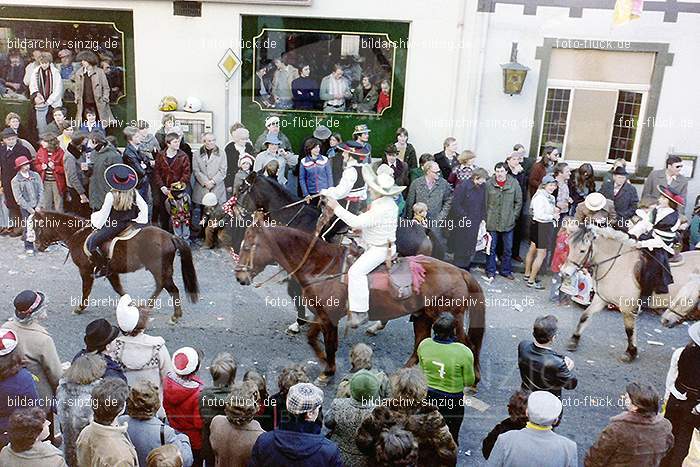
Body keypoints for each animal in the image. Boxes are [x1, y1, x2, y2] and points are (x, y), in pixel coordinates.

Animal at [32, 212, 200, 326]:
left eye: (37, 227)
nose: (37, 246)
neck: (77, 235)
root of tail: (170, 236)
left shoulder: (85, 270)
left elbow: (86, 290)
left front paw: (79, 308)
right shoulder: (111, 272)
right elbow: (119, 289)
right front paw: (130, 305)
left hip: (159, 269)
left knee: (171, 288)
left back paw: (174, 316)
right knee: (162, 286)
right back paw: (147, 307)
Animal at [232, 218, 484, 386]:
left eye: (247, 246)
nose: (240, 277)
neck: (322, 266)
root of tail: (459, 272)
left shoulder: (330, 317)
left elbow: (330, 343)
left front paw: (328, 370)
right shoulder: (322, 315)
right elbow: (312, 338)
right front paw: (324, 361)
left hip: (450, 319)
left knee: (469, 345)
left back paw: (474, 379)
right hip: (423, 317)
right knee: (419, 344)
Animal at [560, 225, 700, 364]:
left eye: (582, 250)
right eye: (570, 246)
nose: (565, 273)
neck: (617, 263)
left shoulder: (627, 308)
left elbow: (629, 330)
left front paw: (631, 352)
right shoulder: (601, 299)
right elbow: (585, 316)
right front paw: (574, 340)